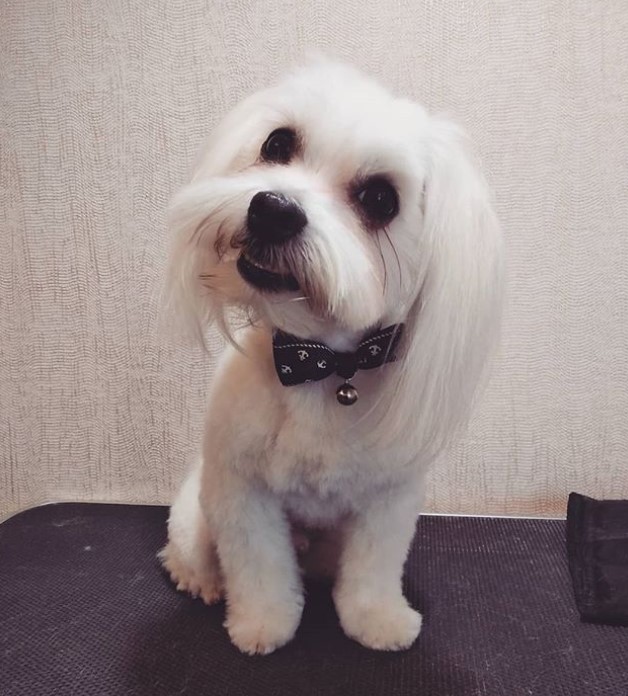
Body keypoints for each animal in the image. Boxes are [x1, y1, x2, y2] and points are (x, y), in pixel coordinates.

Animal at [159, 58, 502, 652]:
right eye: (277, 143)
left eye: (381, 199)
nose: (273, 209)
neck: (320, 366)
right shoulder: (241, 491)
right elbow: (257, 566)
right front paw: (262, 623)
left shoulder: (389, 500)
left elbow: (373, 570)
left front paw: (379, 620)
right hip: (194, 510)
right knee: (189, 549)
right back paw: (201, 579)